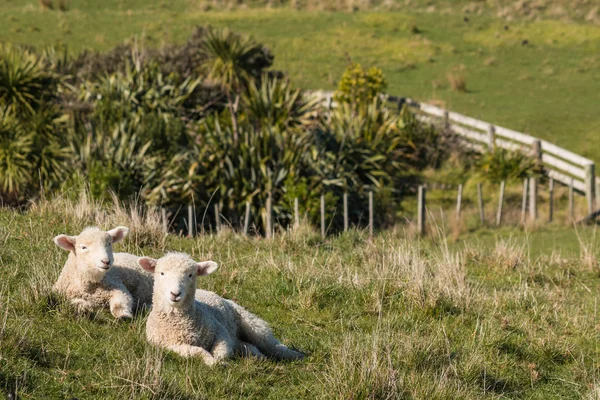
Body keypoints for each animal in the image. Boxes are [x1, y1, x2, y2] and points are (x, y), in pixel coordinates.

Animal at [138, 253, 302, 366]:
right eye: (162, 273)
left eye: (191, 275)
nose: (175, 294)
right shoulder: (169, 346)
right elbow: (198, 351)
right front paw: (213, 362)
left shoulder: (220, 331)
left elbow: (222, 350)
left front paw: (220, 361)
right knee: (248, 345)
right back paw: (258, 356)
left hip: (251, 324)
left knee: (272, 345)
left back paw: (295, 355)